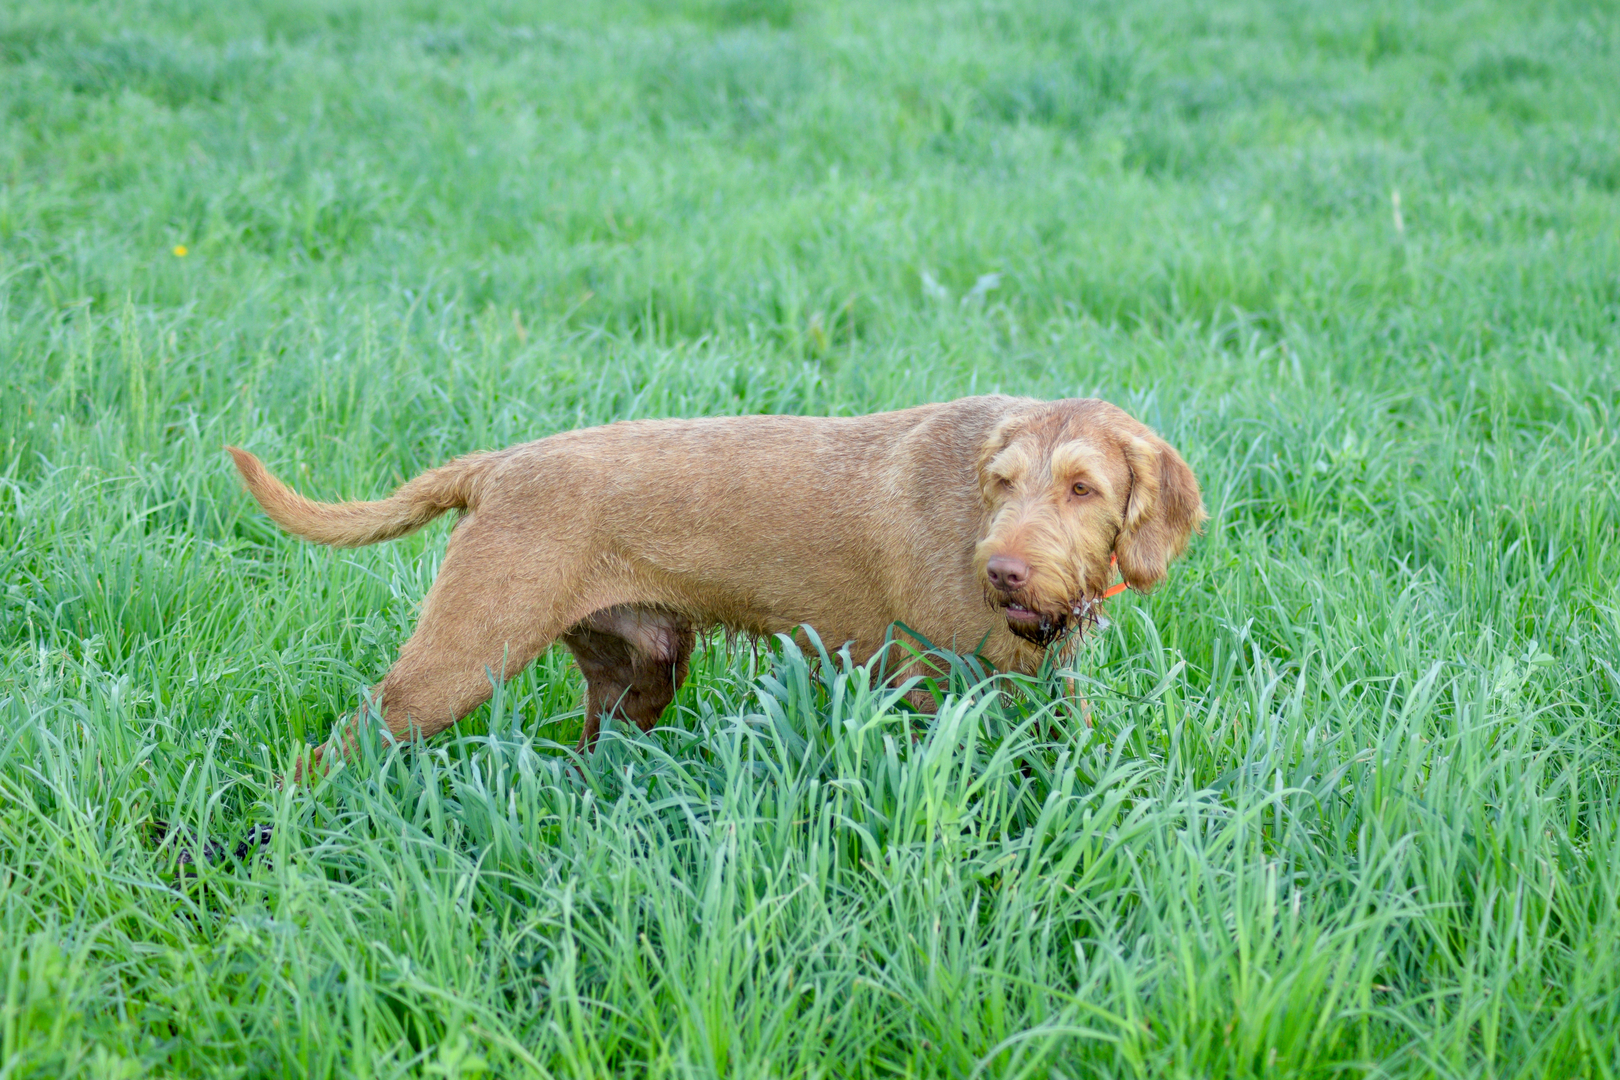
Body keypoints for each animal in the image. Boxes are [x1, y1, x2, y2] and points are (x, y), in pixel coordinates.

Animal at [234, 395, 1211, 761]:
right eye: (1002, 483)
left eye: (1083, 488)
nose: (1002, 572)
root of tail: (498, 467)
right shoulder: (930, 688)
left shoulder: (1048, 691)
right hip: (454, 664)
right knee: (331, 751)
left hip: (640, 673)